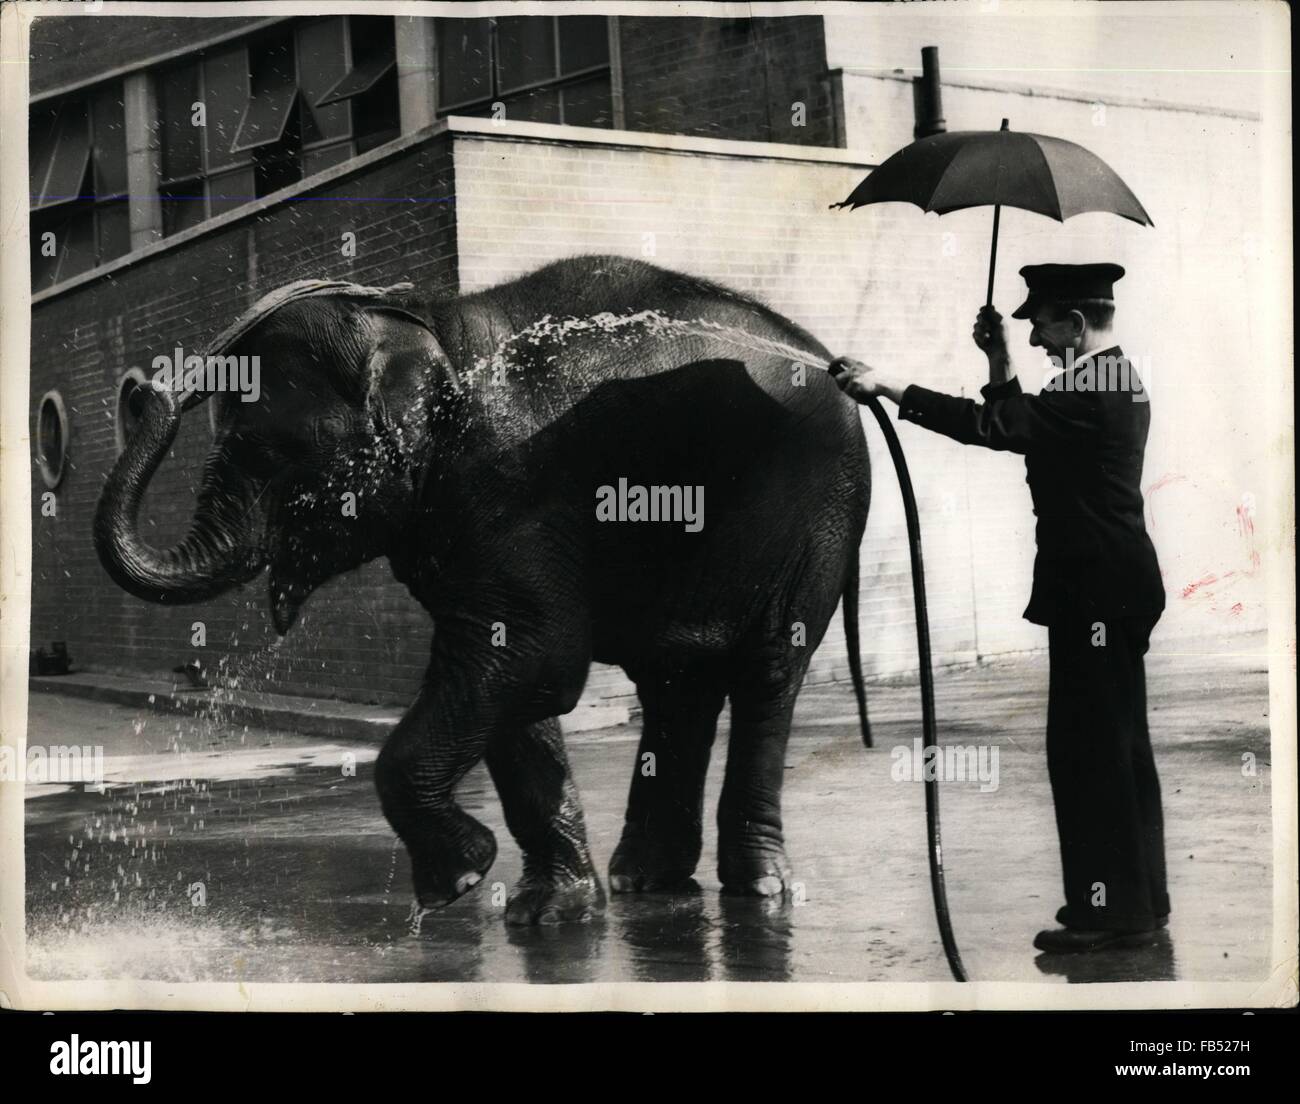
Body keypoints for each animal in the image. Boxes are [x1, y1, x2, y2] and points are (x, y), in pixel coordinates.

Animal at [94, 256, 873, 920]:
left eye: (260, 450)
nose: (139, 390)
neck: (425, 326)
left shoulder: (509, 487)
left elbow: (533, 658)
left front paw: (458, 880)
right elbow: (512, 681)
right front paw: (547, 912)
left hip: (814, 518)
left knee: (768, 672)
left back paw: (757, 889)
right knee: (677, 682)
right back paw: (644, 881)